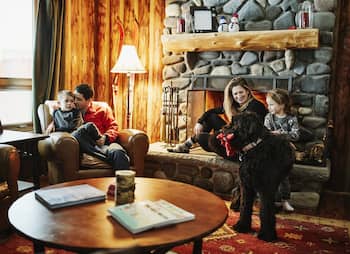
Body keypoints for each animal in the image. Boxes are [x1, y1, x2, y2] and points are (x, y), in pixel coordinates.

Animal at [208, 112, 296, 241]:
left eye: (235, 123)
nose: (221, 129)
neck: (255, 148)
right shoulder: (246, 184)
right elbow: (245, 206)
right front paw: (242, 226)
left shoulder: (266, 190)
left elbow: (266, 211)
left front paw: (267, 234)